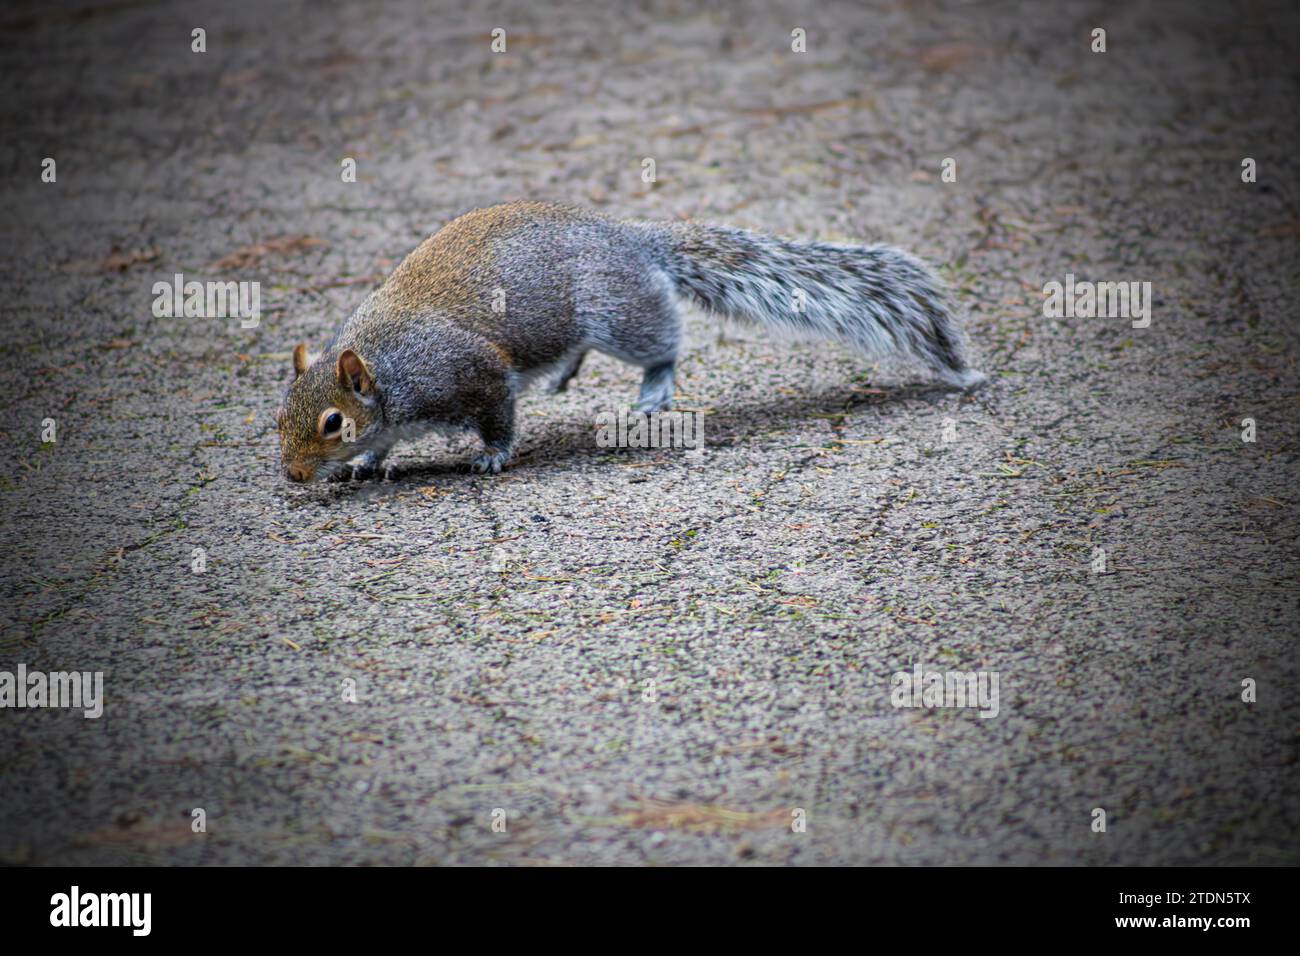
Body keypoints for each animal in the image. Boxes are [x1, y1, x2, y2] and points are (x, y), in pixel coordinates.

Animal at [277, 200, 984, 481]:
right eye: (280, 416)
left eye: (334, 421)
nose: (293, 475)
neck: (388, 367)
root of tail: (630, 238)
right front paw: (365, 465)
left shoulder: (469, 373)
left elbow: (499, 412)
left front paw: (492, 457)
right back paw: (567, 374)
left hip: (616, 313)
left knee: (662, 343)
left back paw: (654, 389)